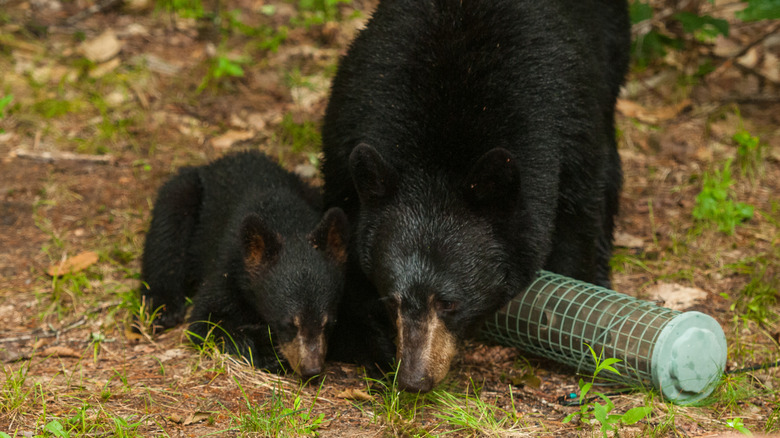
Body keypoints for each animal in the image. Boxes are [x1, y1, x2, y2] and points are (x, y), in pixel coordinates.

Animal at [140, 150, 349, 378]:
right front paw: (267, 350)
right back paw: (162, 308)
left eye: (329, 323)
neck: (283, 219)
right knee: (166, 235)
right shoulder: (230, 267)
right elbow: (206, 320)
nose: (311, 369)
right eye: (287, 323)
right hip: (183, 191)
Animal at [320, 0, 631, 392]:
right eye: (392, 301)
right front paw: (372, 341)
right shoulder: (346, 136)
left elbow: (579, 220)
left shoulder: (568, 126)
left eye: (450, 303)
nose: (414, 379)